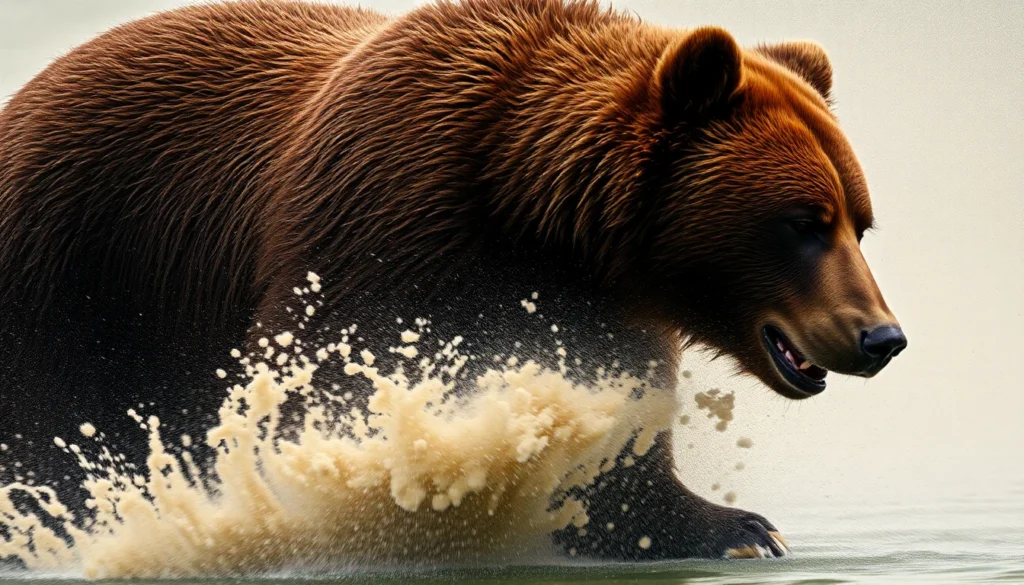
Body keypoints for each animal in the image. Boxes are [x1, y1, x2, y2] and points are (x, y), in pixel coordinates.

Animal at [0, 0, 907, 562]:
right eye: (803, 221)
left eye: (859, 222)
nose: (881, 336)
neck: (524, 203)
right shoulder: (378, 221)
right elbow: (317, 395)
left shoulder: (597, 307)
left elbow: (615, 441)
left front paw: (732, 524)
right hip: (68, 271)